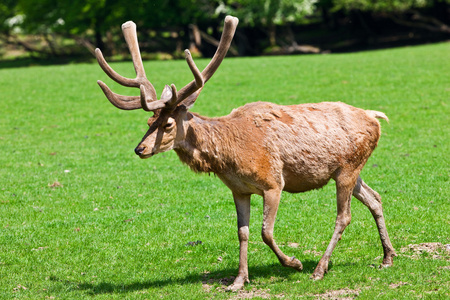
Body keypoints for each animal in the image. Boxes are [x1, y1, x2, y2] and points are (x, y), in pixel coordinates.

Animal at [94, 15, 394, 290]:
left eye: (167, 124)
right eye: (148, 122)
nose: (140, 148)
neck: (230, 156)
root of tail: (375, 117)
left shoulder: (273, 182)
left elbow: (266, 231)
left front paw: (294, 262)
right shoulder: (238, 190)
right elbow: (243, 232)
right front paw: (238, 280)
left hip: (347, 168)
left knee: (344, 216)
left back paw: (320, 268)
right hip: (350, 170)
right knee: (375, 198)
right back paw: (387, 257)